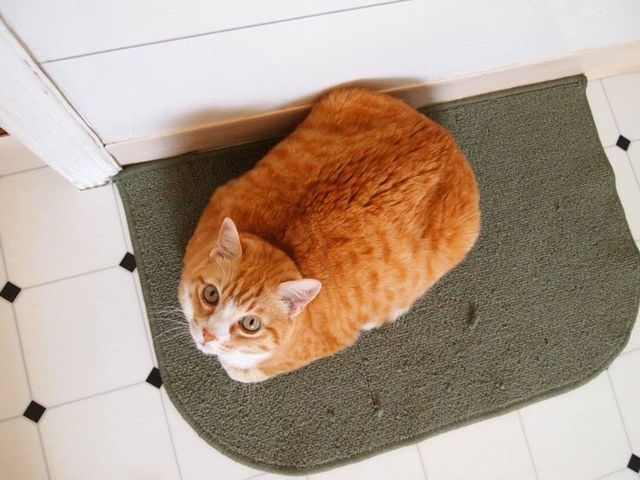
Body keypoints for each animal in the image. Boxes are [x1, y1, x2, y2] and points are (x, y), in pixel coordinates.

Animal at [180, 87, 480, 382]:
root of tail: (445, 139)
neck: (281, 244)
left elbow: (240, 371)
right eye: (211, 294)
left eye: (250, 324)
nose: (208, 334)